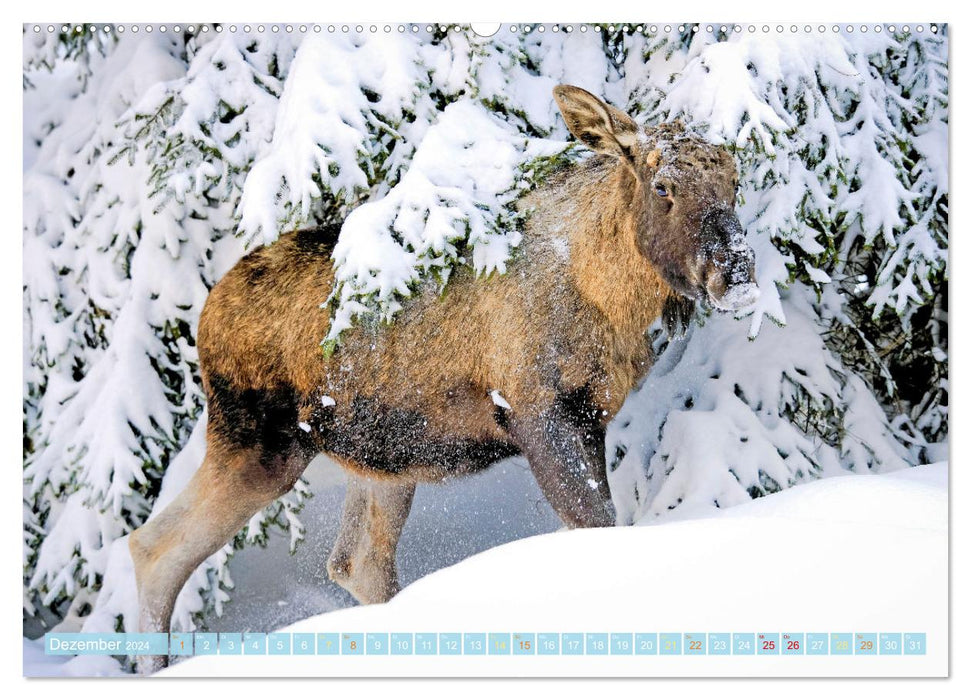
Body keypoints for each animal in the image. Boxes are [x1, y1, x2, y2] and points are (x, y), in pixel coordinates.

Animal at [127, 85, 760, 668]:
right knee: (154, 548)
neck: (609, 297)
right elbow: (597, 525)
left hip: (381, 456)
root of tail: (206, 314)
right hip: (258, 441)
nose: (736, 273)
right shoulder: (543, 413)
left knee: (355, 562)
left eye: (734, 182)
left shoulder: (590, 414)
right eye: (662, 186)